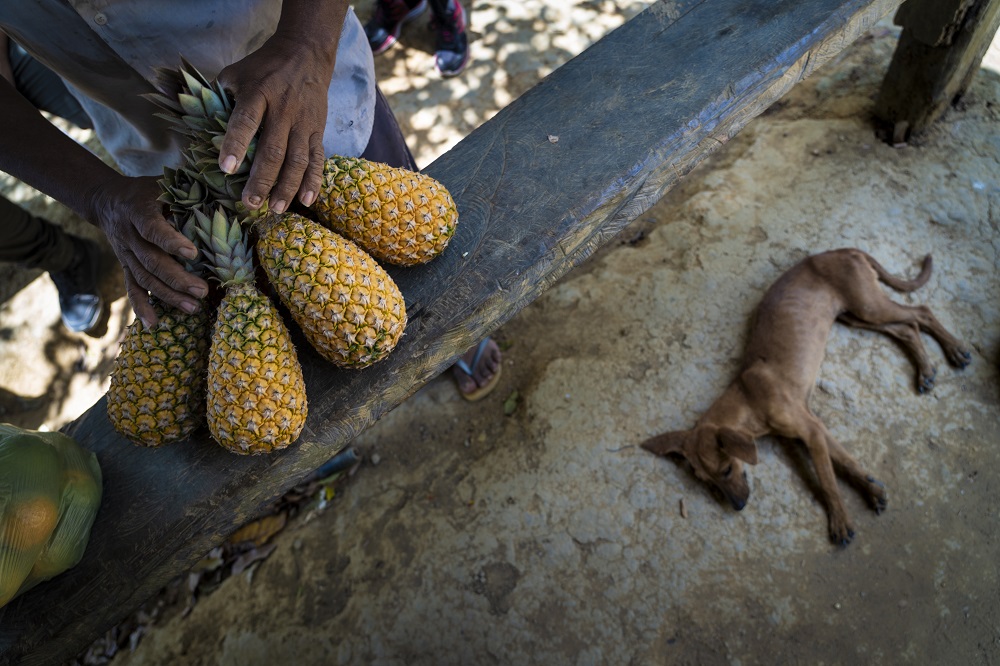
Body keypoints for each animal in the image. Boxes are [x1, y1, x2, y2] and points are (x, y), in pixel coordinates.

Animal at [640, 249, 968, 544]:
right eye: (707, 482)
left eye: (727, 470)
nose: (738, 507)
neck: (748, 399)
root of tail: (843, 250)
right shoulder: (816, 428)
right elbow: (846, 462)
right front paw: (871, 490)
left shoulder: (810, 432)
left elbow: (827, 479)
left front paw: (839, 520)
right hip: (854, 316)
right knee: (907, 328)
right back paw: (926, 369)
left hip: (868, 306)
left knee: (921, 312)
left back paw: (954, 350)